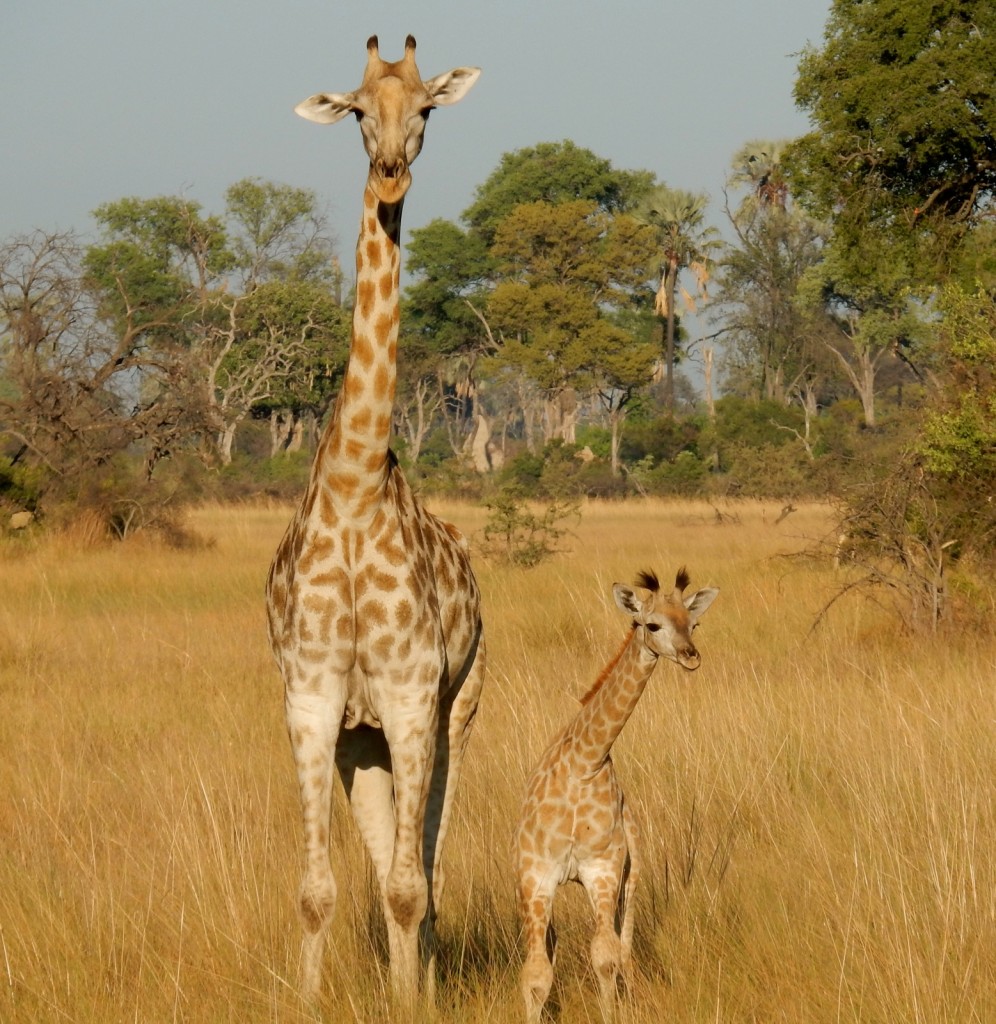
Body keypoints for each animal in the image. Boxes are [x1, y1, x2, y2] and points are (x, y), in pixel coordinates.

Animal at [513, 569, 716, 1024]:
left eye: (693, 624)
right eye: (652, 625)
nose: (691, 656)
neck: (584, 763)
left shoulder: (603, 869)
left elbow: (604, 958)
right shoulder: (537, 875)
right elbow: (535, 975)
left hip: (632, 875)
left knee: (623, 950)